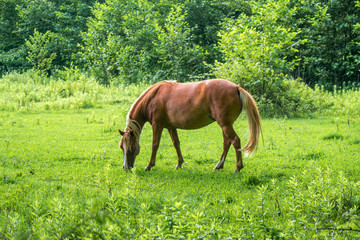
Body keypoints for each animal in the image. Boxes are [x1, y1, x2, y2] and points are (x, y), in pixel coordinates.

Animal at [118, 79, 262, 172]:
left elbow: (155, 144)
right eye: (121, 147)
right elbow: (176, 143)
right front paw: (179, 164)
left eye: (131, 147)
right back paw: (219, 166)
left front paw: (149, 165)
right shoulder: (170, 127)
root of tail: (236, 87)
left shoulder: (157, 125)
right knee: (227, 143)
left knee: (235, 141)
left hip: (225, 125)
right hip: (225, 125)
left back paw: (238, 167)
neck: (153, 97)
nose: (125, 168)